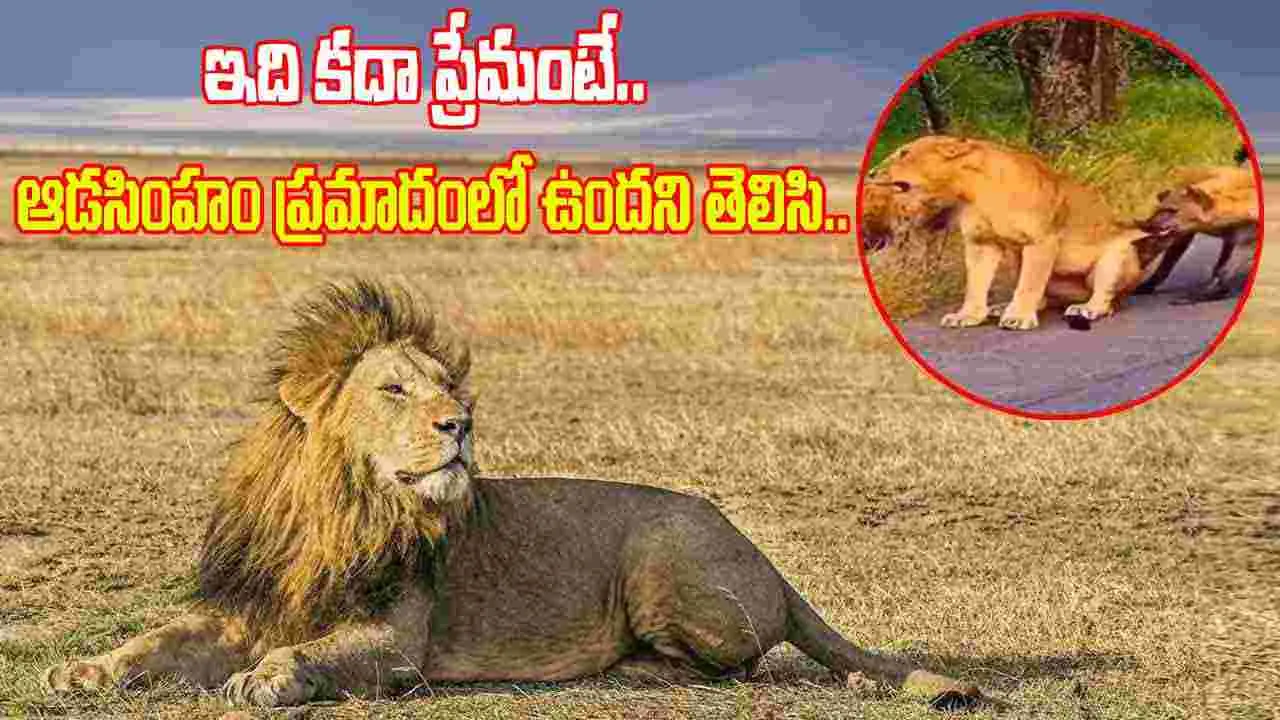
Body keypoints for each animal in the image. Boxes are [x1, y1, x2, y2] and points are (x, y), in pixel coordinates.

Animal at [44, 280, 982, 710]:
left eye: (446, 387)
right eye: (394, 389)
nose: (459, 423)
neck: (339, 509)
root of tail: (768, 558)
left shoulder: (397, 642)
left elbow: (315, 654)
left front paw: (267, 681)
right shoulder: (248, 606)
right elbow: (157, 638)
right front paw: (85, 669)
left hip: (662, 556)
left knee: (739, 662)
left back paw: (632, 668)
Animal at [861, 135, 1159, 331]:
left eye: (904, 153)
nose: (872, 171)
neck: (973, 189)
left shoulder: (1041, 240)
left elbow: (1030, 283)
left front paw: (1018, 318)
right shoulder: (982, 243)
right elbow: (976, 284)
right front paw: (967, 315)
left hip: (1118, 254)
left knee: (1108, 299)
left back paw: (1086, 308)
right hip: (1018, 259)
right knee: (1043, 298)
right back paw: (999, 308)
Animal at [1134, 159, 1259, 304]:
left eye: (1172, 210)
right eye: (1157, 209)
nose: (1146, 224)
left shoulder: (1247, 233)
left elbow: (1228, 265)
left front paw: (1197, 295)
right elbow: (1169, 259)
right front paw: (1144, 286)